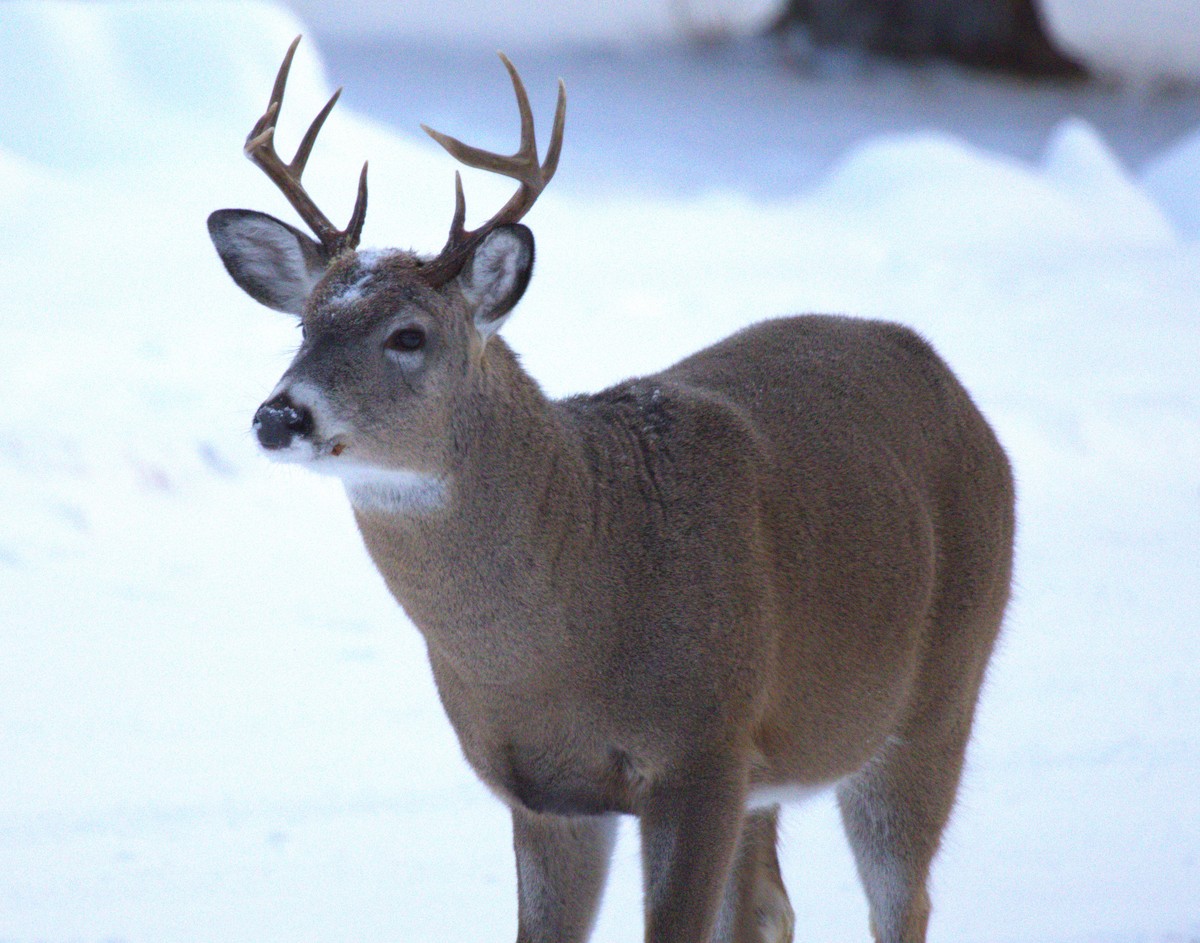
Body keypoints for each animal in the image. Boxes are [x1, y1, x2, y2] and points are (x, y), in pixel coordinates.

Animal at [207, 37, 1015, 943]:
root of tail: (951, 384)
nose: (280, 414)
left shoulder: (703, 751)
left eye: (407, 335)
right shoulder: (545, 791)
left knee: (902, 900)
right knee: (769, 907)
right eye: (304, 324)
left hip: (934, 702)